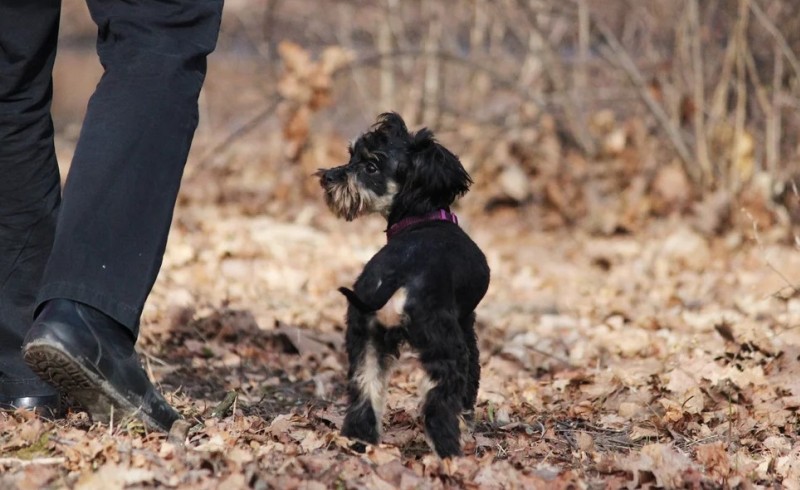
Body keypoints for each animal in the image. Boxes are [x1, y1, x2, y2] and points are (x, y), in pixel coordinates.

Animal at [318, 113, 490, 458]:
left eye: (370, 166)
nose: (327, 178)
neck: (421, 218)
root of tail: (395, 278)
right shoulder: (467, 323)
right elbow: (472, 383)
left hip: (365, 339)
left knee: (365, 392)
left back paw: (360, 443)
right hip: (444, 345)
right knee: (438, 404)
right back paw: (451, 454)